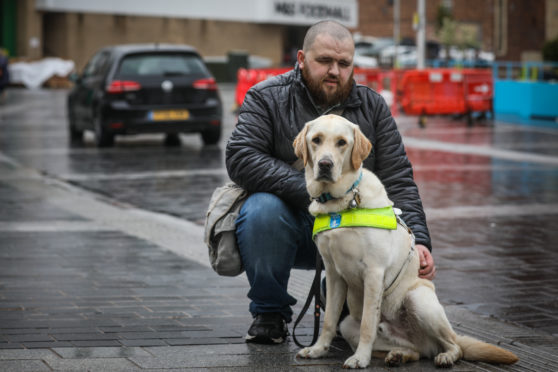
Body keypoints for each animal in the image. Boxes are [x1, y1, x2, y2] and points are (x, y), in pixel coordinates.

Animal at [296, 115, 520, 368]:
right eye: (316, 140)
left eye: (342, 142)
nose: (325, 164)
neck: (343, 201)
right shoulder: (334, 274)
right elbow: (329, 321)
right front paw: (318, 349)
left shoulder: (374, 272)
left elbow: (367, 324)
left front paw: (360, 358)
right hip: (350, 325)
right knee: (416, 351)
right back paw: (399, 355)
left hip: (418, 299)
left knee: (455, 345)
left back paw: (445, 356)